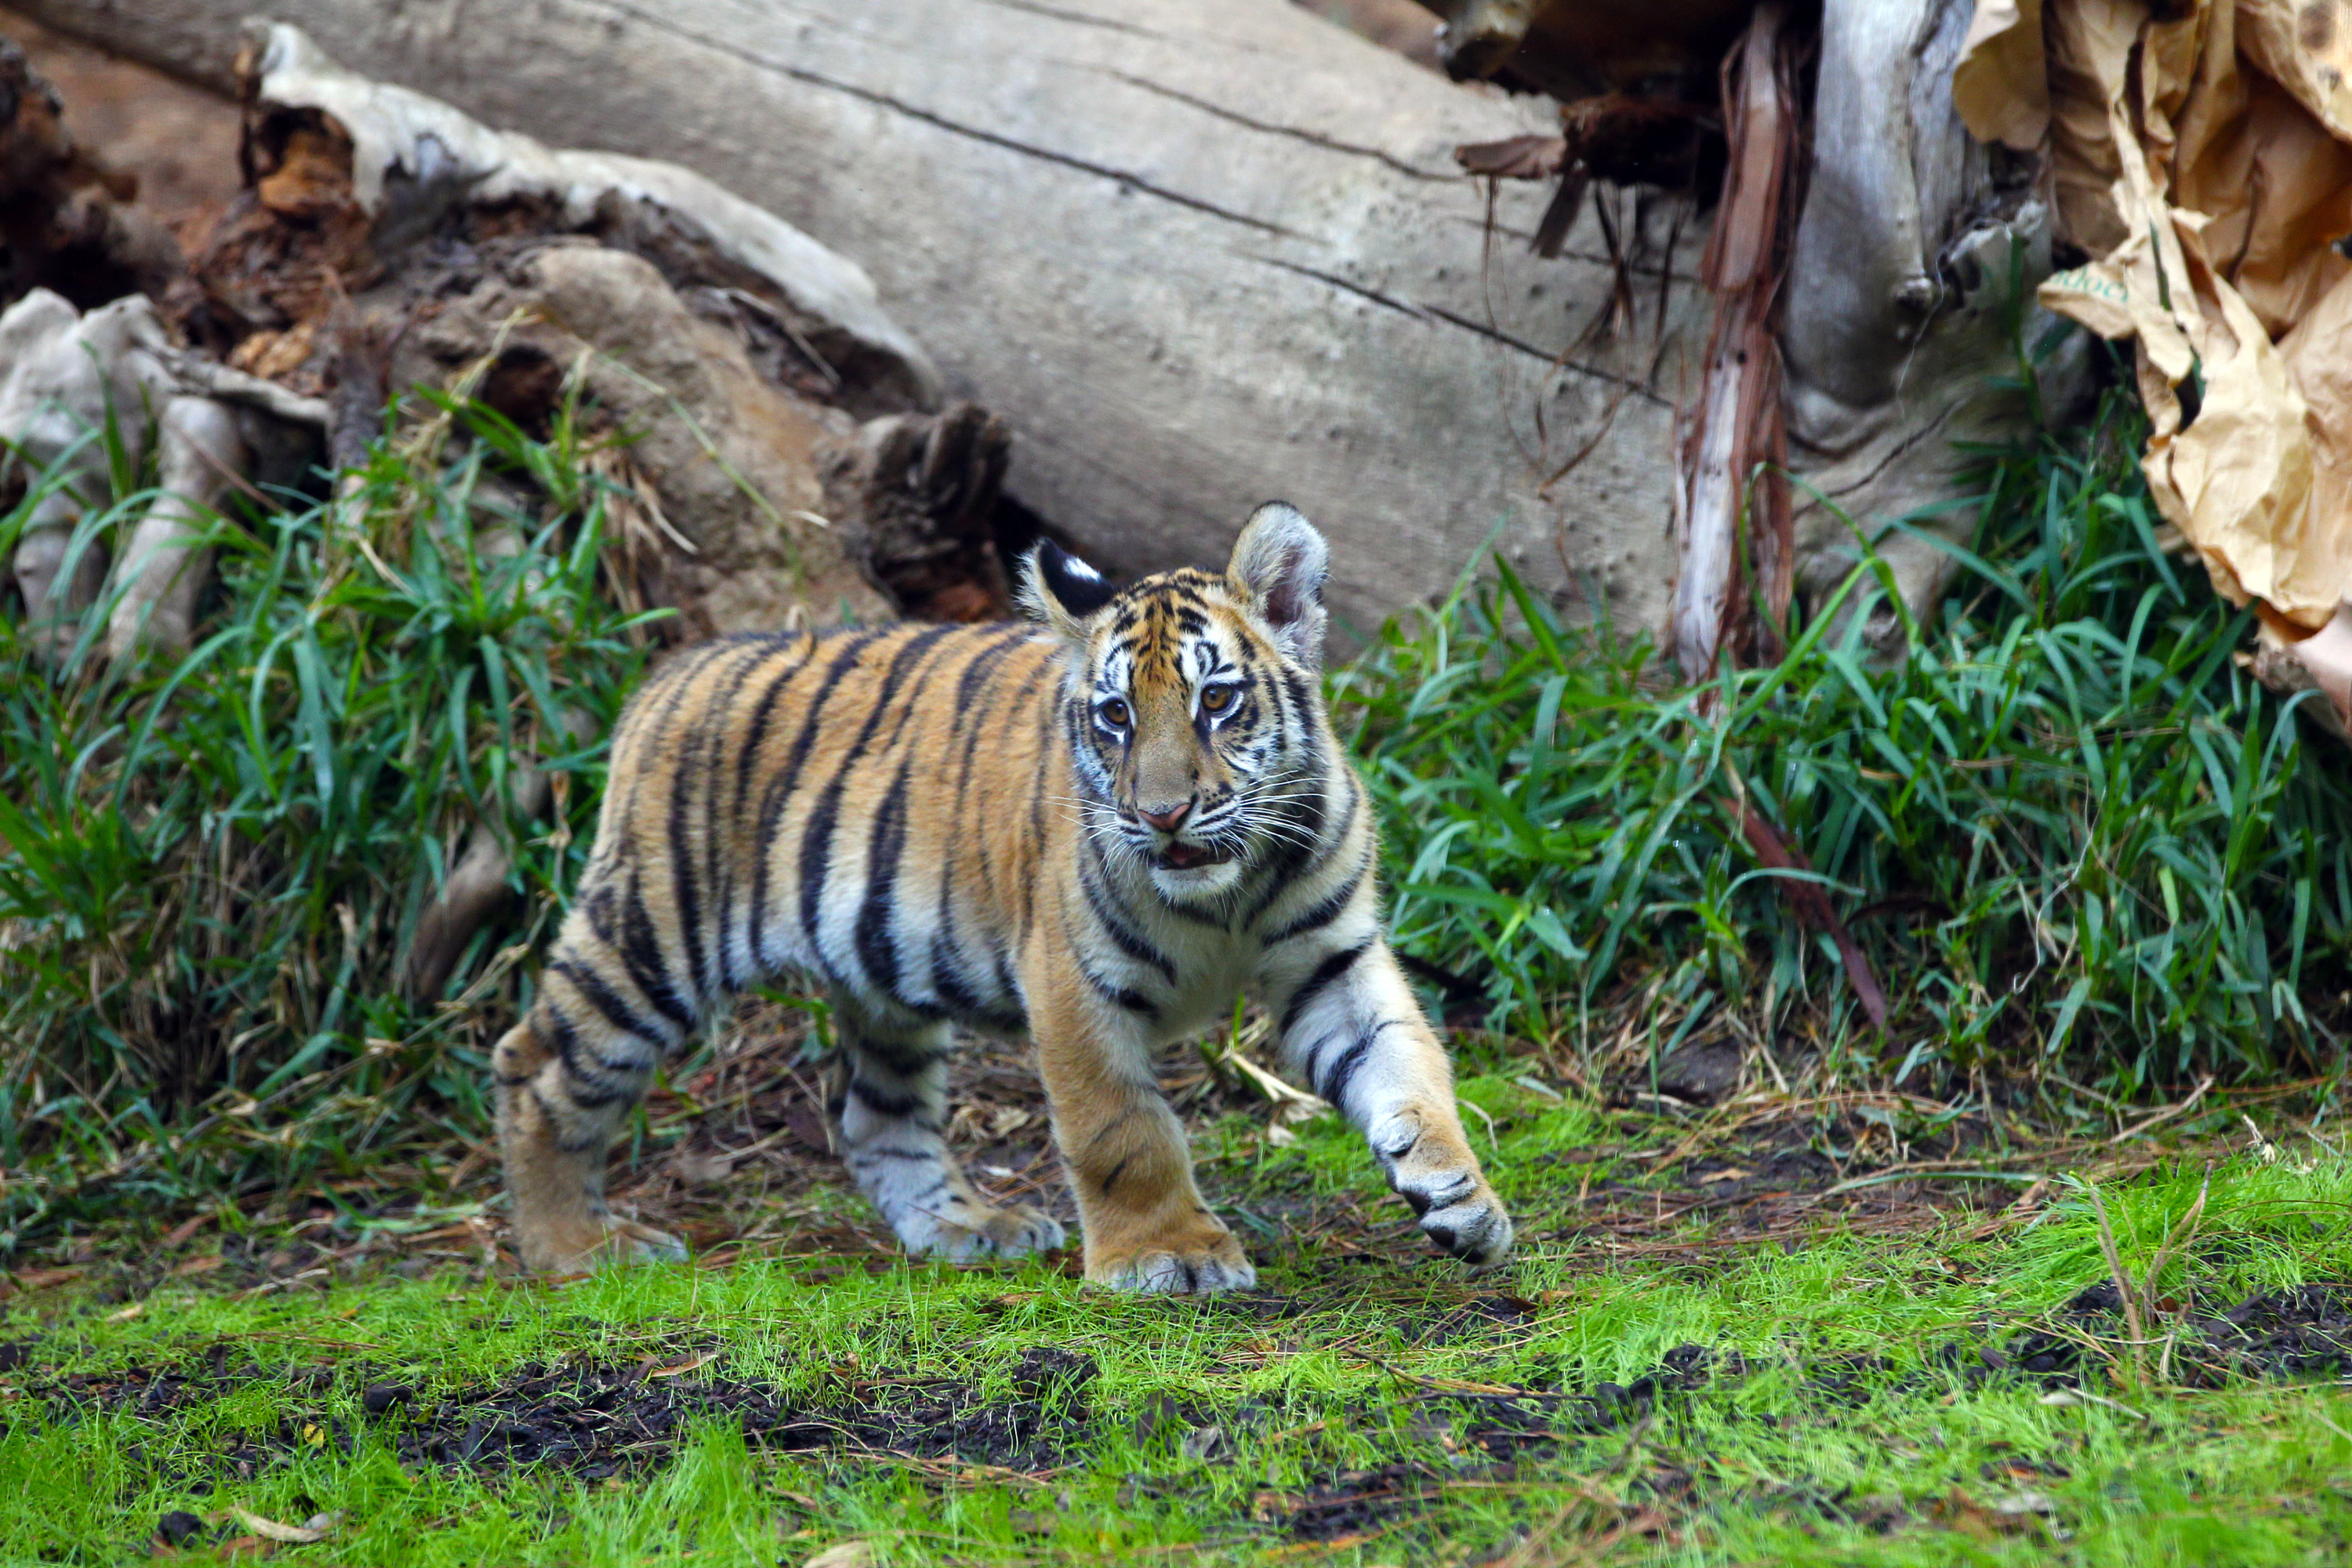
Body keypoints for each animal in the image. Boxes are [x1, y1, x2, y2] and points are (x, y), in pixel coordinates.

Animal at [490, 502, 1513, 1293]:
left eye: (1217, 701)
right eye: (1116, 716)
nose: (1163, 812)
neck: (1228, 889)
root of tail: (668, 674)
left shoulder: (1331, 959)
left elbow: (1411, 1066)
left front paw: (1461, 1195)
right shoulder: (1071, 980)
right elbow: (1122, 1128)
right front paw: (1167, 1255)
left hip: (880, 976)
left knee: (876, 1115)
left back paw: (965, 1228)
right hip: (656, 936)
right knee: (535, 1065)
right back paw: (575, 1248)